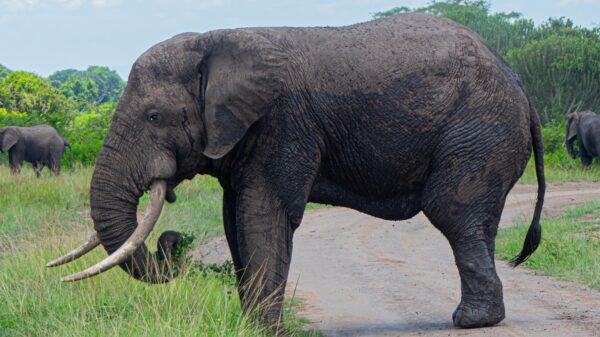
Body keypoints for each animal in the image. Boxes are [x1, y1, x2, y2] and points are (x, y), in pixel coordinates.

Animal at [49, 13, 548, 334]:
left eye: (154, 117)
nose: (172, 241)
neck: (214, 42)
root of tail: (521, 84)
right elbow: (234, 219)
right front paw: (250, 327)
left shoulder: (285, 123)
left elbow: (263, 215)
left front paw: (264, 330)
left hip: (478, 129)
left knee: (454, 214)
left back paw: (471, 321)